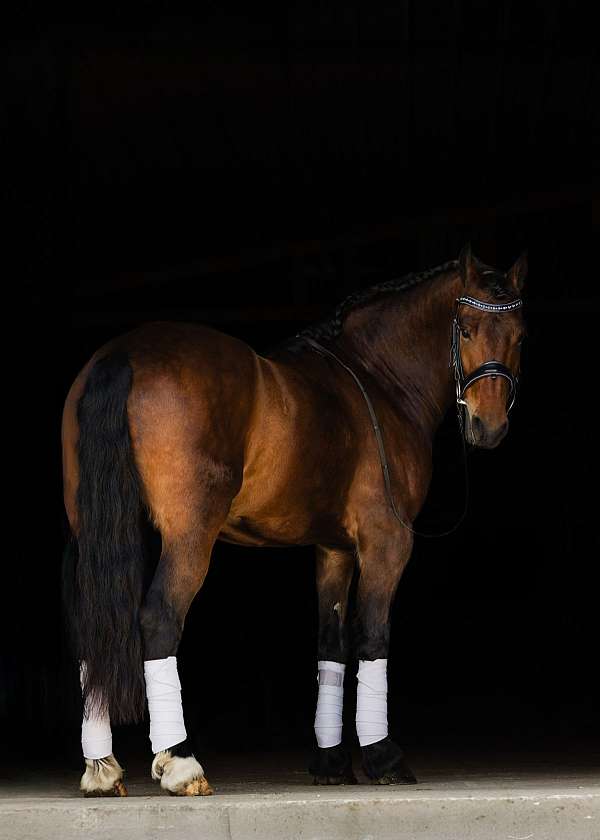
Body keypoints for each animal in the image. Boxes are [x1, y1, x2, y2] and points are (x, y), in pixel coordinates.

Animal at [61, 244, 527, 796]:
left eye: (519, 334)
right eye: (467, 329)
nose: (488, 426)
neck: (377, 381)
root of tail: (124, 354)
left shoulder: (334, 549)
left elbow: (332, 646)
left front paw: (330, 762)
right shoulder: (386, 542)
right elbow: (373, 637)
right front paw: (383, 757)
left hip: (92, 532)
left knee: (91, 626)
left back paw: (101, 768)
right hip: (190, 536)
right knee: (159, 618)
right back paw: (181, 762)